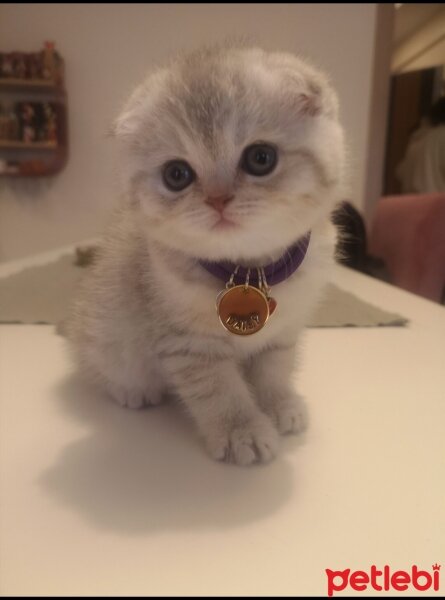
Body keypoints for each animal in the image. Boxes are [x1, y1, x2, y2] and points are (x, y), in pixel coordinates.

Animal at [64, 44, 346, 466]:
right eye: (176, 174)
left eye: (260, 158)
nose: (217, 199)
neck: (249, 272)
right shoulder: (189, 344)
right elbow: (218, 389)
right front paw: (241, 430)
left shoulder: (285, 330)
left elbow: (275, 368)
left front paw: (279, 403)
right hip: (108, 335)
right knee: (100, 367)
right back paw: (131, 390)